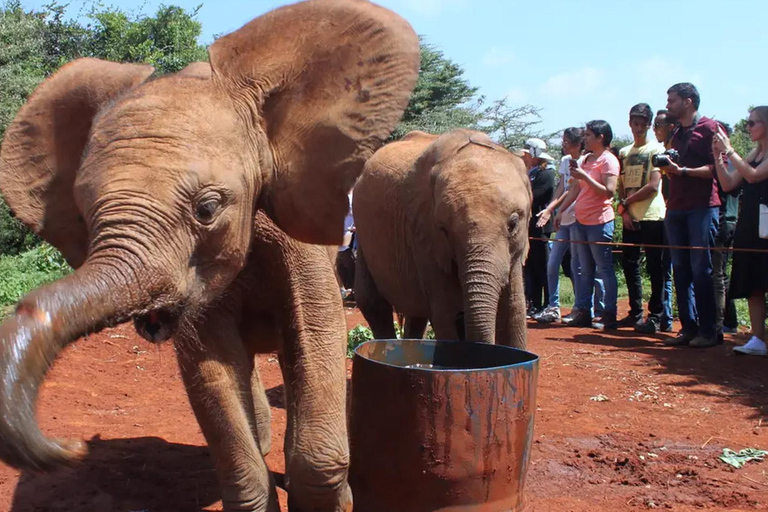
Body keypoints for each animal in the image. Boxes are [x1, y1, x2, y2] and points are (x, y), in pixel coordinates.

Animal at [352, 130, 528, 350]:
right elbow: (446, 314)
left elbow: (515, 314)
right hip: (362, 235)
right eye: (444, 230)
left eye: (513, 224)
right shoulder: (425, 237)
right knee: (372, 302)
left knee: (417, 314)